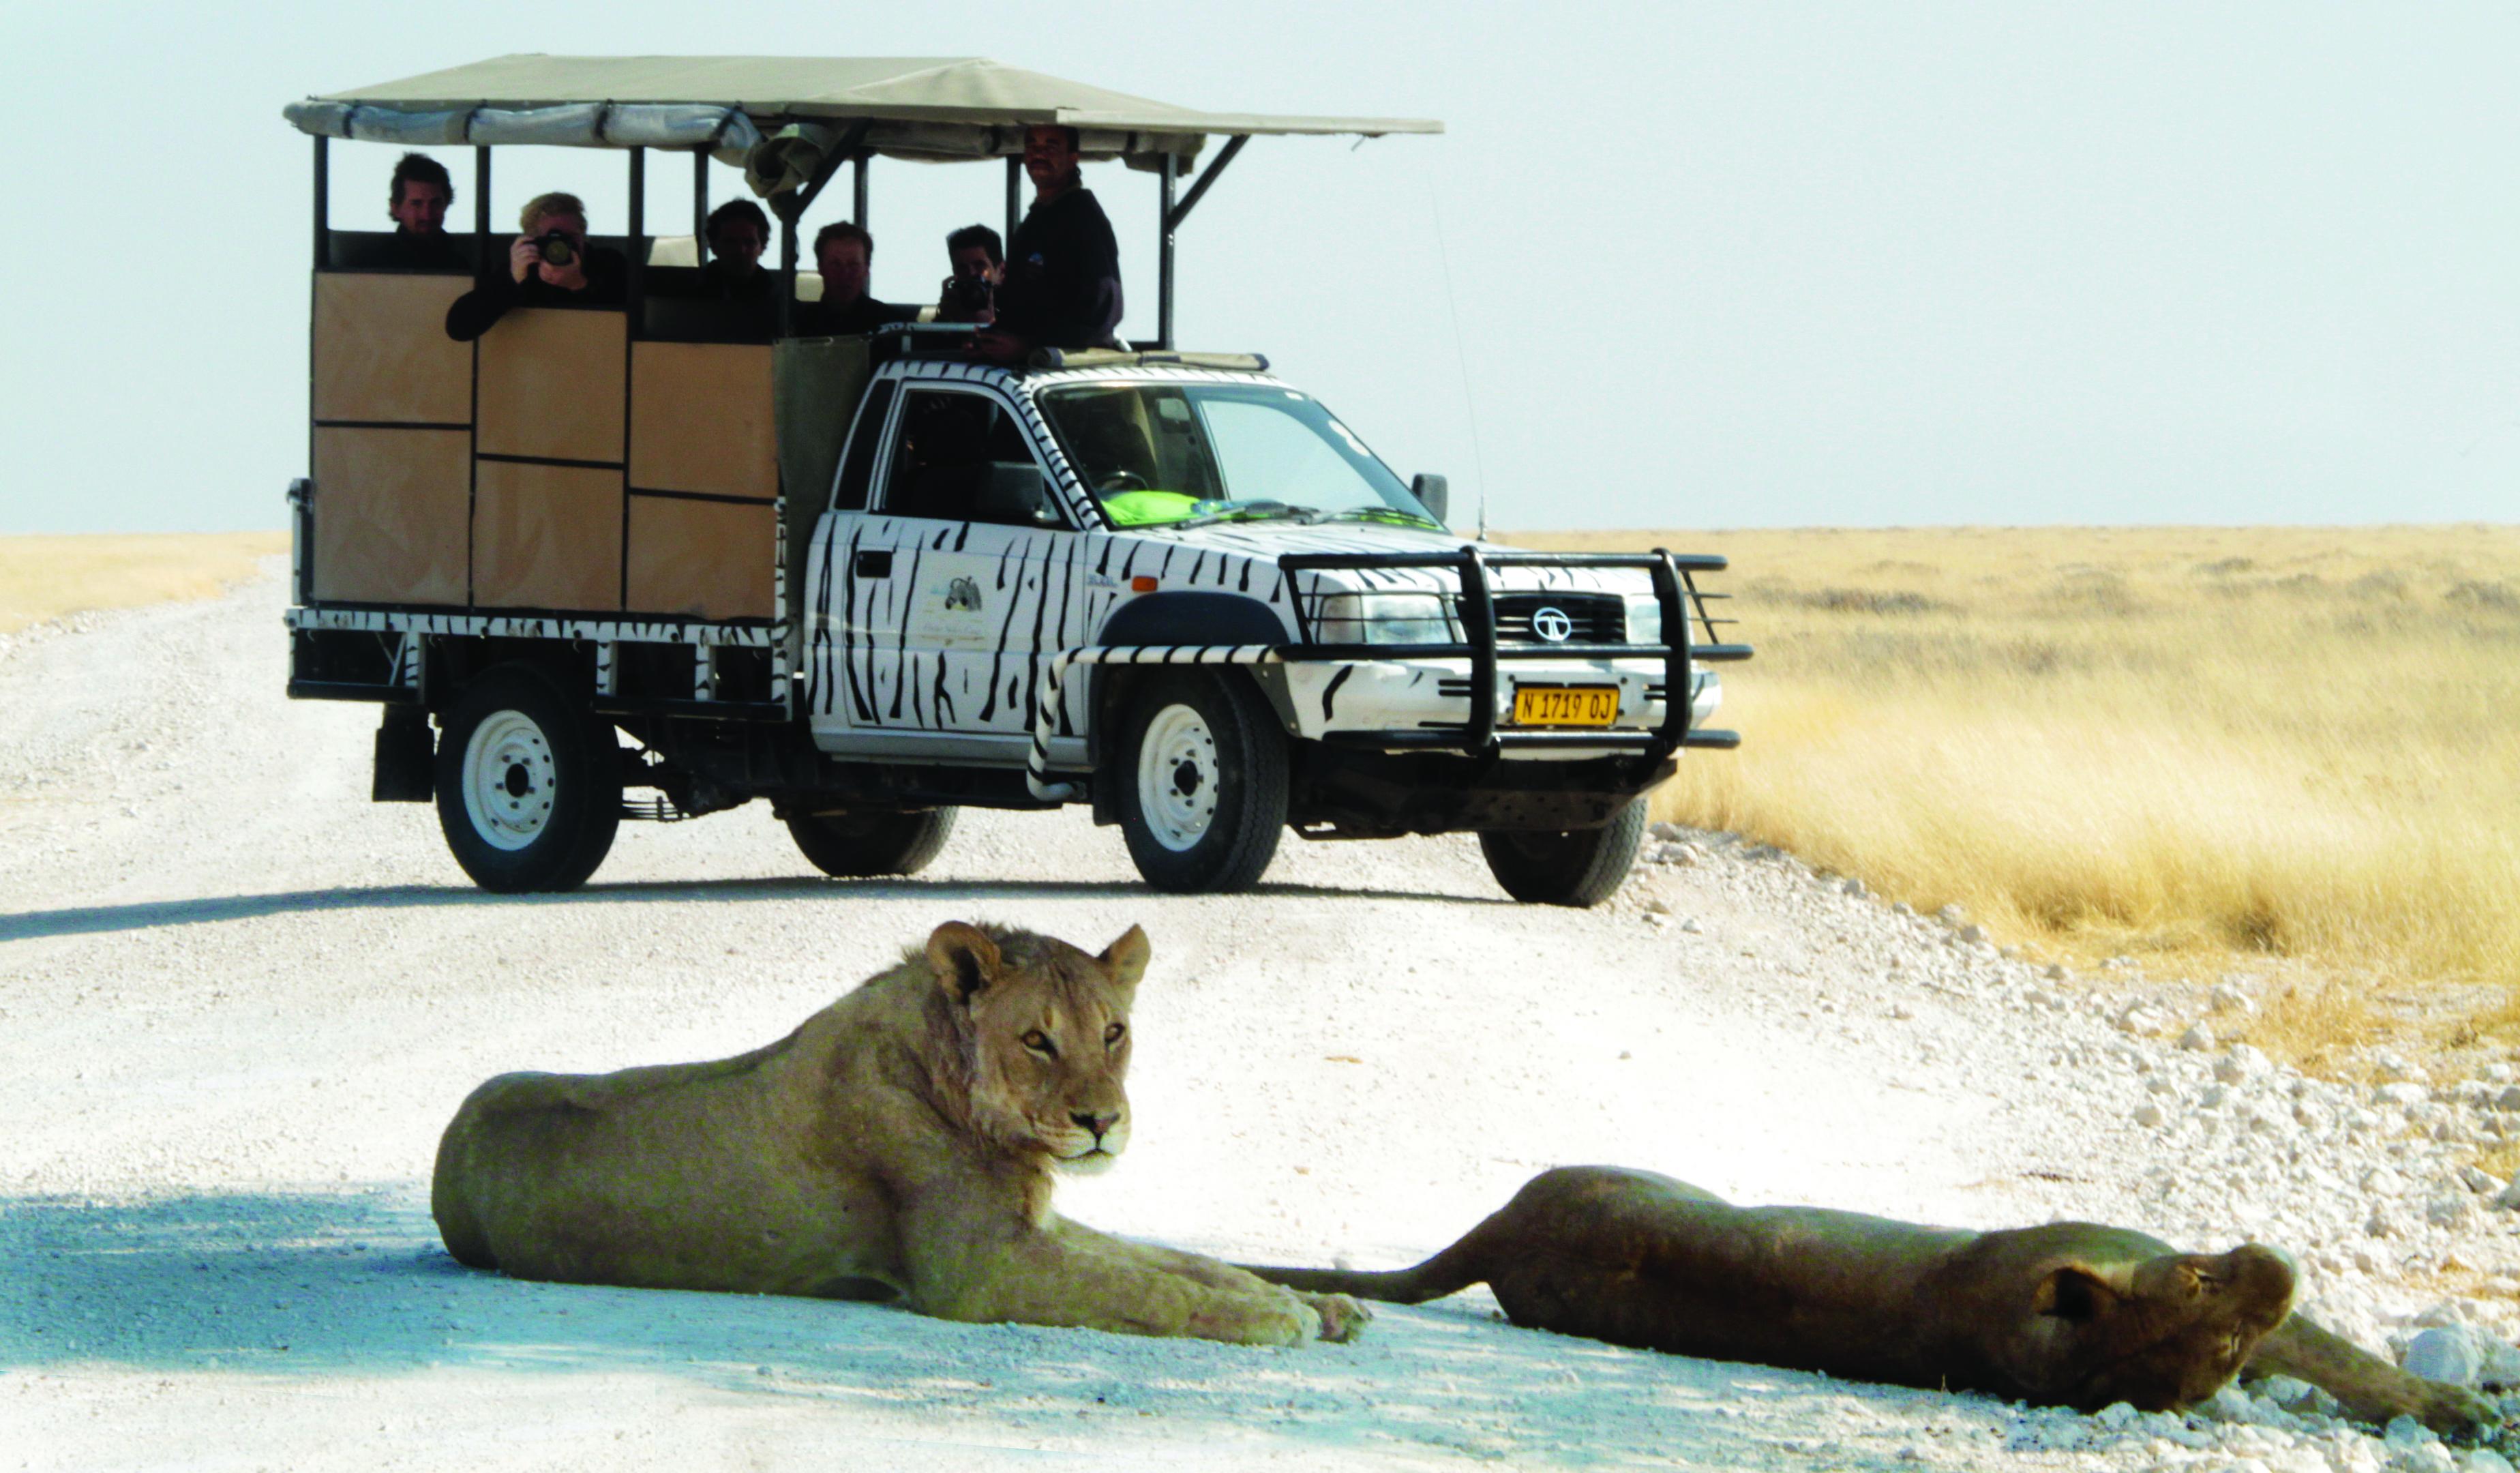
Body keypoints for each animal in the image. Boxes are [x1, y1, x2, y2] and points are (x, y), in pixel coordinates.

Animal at [443, 918, 1370, 1341]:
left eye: (1113, 1032)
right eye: (1037, 1039)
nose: (1102, 1121)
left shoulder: (1032, 1226)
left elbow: (1179, 1262)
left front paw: (1313, 1301)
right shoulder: (980, 1270)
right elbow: (1147, 1289)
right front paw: (1277, 1319)